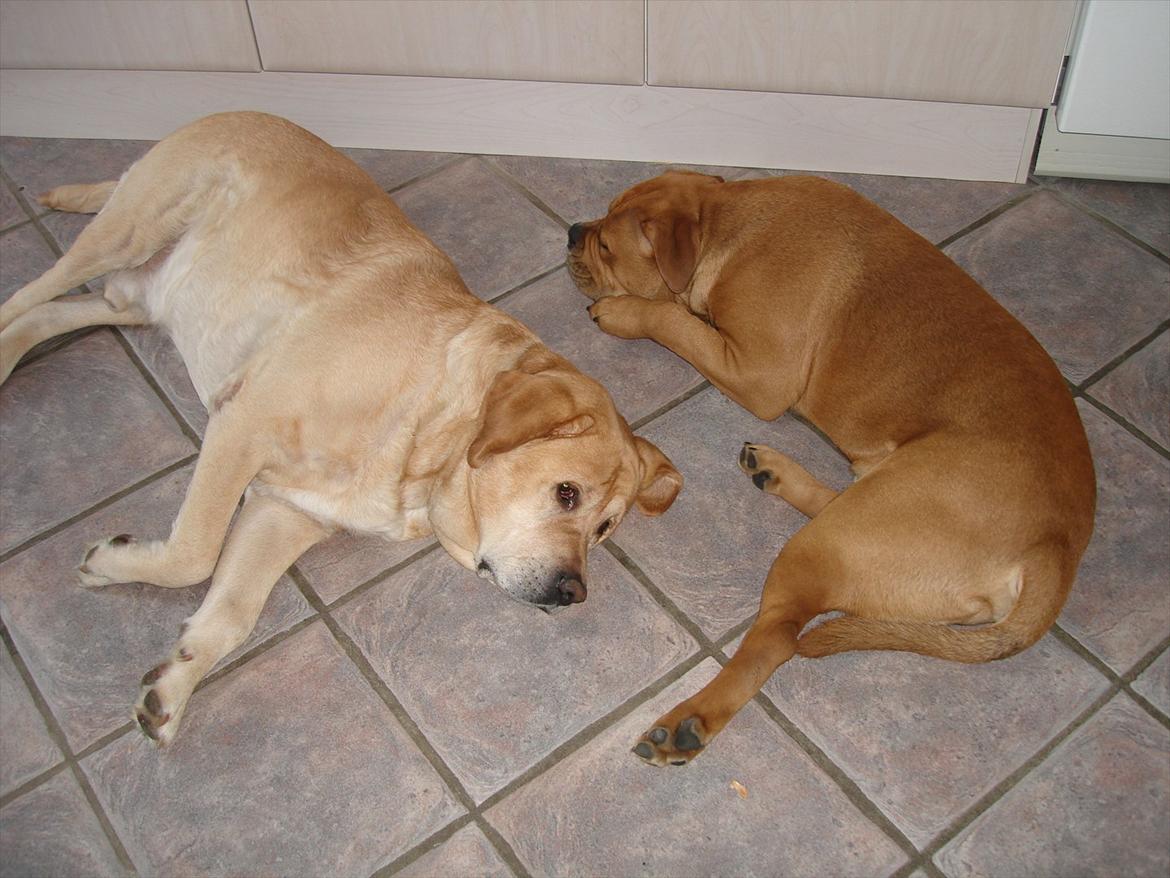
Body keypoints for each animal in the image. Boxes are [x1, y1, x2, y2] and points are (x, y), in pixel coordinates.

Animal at [0, 111, 683, 749]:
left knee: (48, 316)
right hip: (126, 232)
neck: (424, 432)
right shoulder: (242, 424)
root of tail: (234, 112)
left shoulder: (285, 511)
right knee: (25, 297)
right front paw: (120, 564)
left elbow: (232, 612)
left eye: (603, 530)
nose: (574, 592)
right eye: (566, 493)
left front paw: (174, 681)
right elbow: (193, 553)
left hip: (134, 300)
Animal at [566, 169, 1095, 763]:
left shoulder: (758, 374)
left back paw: (690, 720)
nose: (571, 231)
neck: (725, 225)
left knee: (776, 639)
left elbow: (673, 321)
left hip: (838, 535)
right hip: (871, 500)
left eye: (606, 247)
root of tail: (1055, 550)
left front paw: (626, 310)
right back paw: (774, 471)